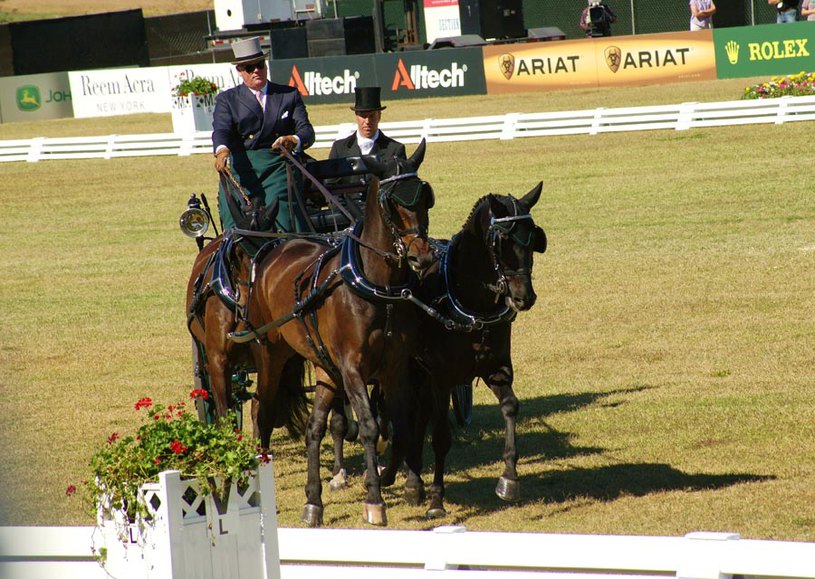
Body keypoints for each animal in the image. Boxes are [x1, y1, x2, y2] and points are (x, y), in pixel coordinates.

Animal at [245, 139, 436, 524]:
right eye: (392, 202)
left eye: (425, 197)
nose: (422, 259)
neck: (377, 286)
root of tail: (276, 246)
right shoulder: (352, 367)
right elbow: (369, 425)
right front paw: (375, 498)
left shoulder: (394, 367)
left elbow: (401, 425)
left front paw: (403, 481)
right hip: (270, 354)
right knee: (262, 409)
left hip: (324, 368)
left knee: (315, 427)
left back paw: (313, 501)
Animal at [380, 181, 548, 516]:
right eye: (502, 242)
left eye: (533, 238)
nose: (524, 297)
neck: (470, 302)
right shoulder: (442, 377)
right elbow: (441, 436)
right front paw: (437, 501)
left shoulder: (497, 368)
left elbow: (511, 407)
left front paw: (509, 479)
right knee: (406, 415)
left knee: (418, 417)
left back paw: (413, 482)